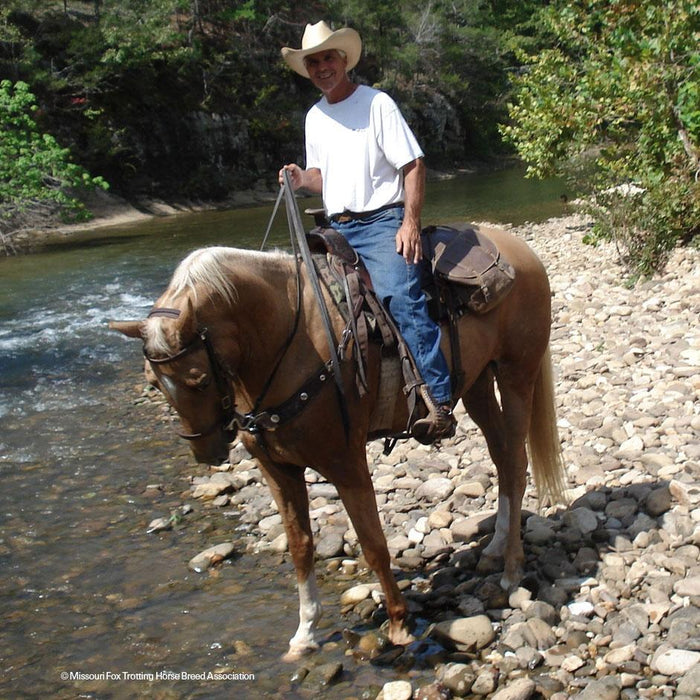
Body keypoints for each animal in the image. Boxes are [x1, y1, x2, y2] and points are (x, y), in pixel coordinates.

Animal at [110, 226, 568, 660]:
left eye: (198, 379)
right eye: (154, 382)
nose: (206, 452)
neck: (287, 339)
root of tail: (521, 252)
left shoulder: (346, 463)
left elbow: (373, 544)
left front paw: (399, 624)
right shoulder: (277, 470)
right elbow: (300, 546)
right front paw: (304, 633)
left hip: (517, 373)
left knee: (515, 461)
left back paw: (511, 569)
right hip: (475, 383)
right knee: (501, 456)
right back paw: (495, 547)